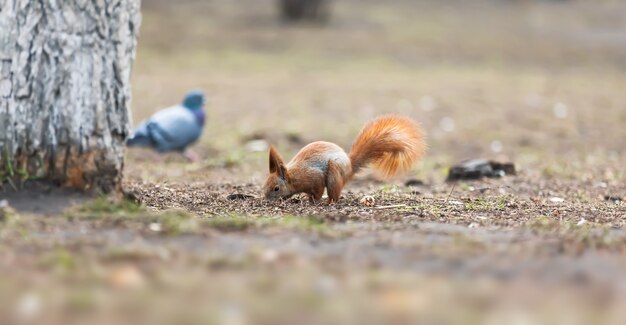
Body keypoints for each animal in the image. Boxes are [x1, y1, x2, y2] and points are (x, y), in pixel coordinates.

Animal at [260, 114, 426, 202]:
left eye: (276, 188)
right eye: (264, 184)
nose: (266, 199)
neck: (293, 177)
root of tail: (350, 165)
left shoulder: (313, 177)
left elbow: (318, 190)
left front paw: (315, 201)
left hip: (334, 173)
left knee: (334, 193)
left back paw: (329, 202)